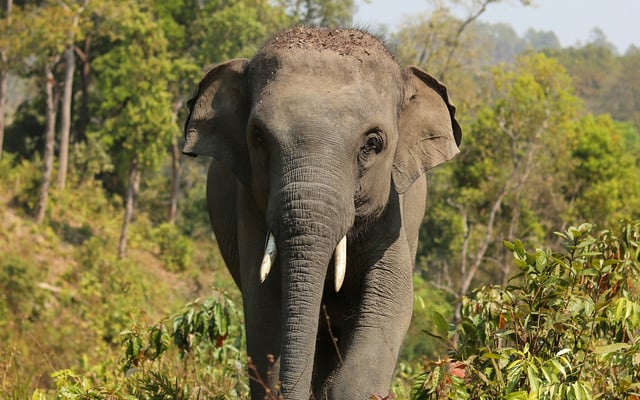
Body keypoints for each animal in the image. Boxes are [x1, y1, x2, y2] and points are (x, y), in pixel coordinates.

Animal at [183, 26, 461, 399]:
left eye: (372, 144)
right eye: (258, 137)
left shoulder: (394, 209)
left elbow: (392, 298)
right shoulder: (250, 205)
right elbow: (264, 307)